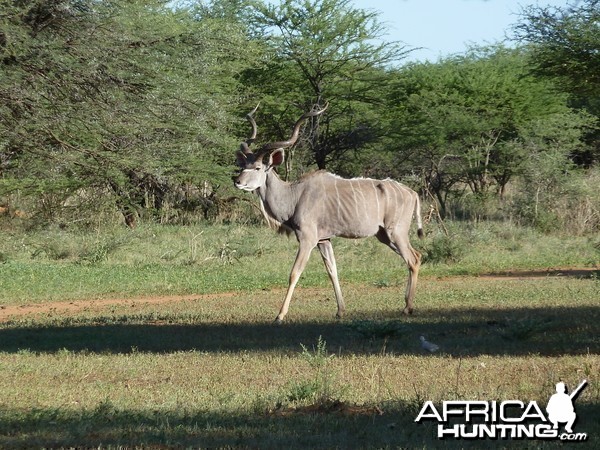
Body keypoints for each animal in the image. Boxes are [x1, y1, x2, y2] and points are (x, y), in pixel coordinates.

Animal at [232, 104, 424, 324]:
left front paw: (279, 315)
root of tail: (412, 193)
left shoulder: (308, 239)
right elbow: (332, 270)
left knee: (412, 259)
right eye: (243, 166)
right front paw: (340, 311)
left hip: (396, 232)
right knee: (416, 256)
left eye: (257, 167)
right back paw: (407, 304)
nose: (237, 181)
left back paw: (408, 308)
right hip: (384, 235)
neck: (294, 195)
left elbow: (294, 272)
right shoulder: (324, 240)